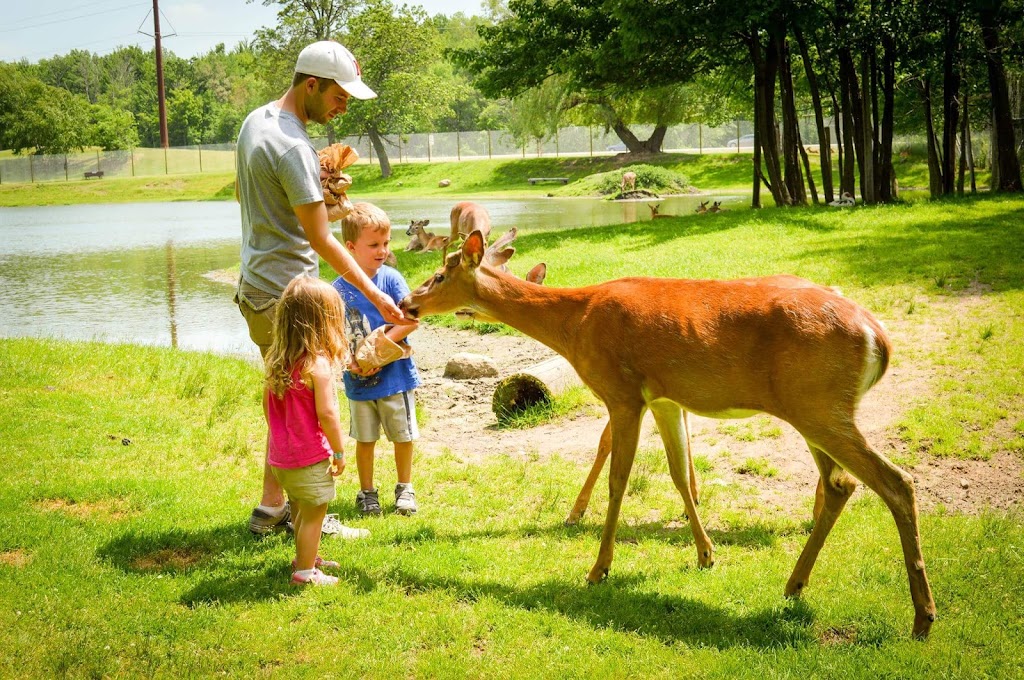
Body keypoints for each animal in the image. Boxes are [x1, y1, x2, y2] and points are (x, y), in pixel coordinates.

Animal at [399, 231, 937, 639]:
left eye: (440, 274)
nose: (407, 300)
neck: (575, 322)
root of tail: (879, 337)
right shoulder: (663, 398)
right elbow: (679, 473)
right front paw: (705, 555)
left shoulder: (622, 393)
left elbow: (619, 480)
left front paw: (598, 569)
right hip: (813, 410)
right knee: (840, 484)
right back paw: (794, 585)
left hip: (819, 404)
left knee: (894, 482)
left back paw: (922, 617)